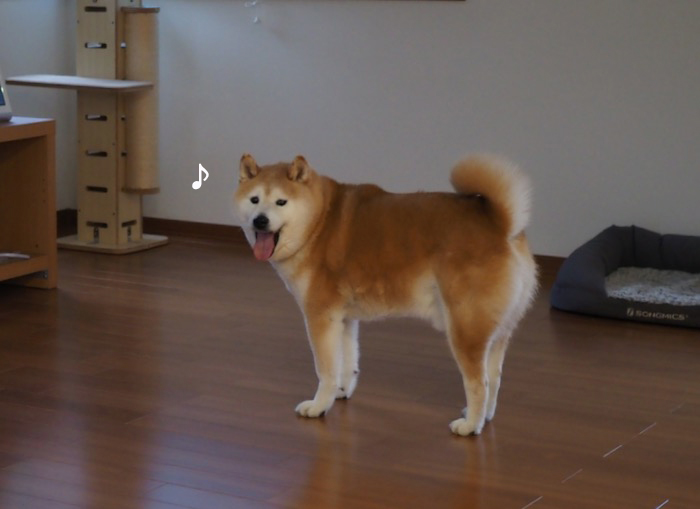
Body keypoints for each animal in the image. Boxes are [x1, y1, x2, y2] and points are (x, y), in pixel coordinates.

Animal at [234, 153, 537, 436]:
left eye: (281, 202)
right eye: (254, 200)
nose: (260, 220)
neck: (318, 223)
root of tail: (502, 225)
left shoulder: (320, 317)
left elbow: (326, 370)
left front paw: (319, 406)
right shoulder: (343, 318)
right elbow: (348, 361)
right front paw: (341, 391)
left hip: (465, 330)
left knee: (478, 384)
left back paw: (471, 425)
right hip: (496, 332)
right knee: (494, 379)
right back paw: (485, 416)